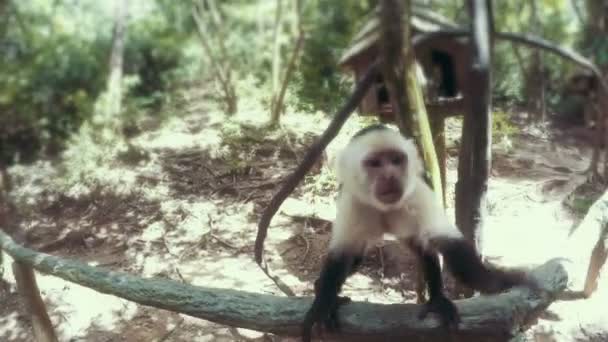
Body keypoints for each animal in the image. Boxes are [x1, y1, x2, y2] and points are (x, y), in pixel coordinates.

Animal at [302, 124, 536, 340]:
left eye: (396, 160)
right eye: (375, 163)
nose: (390, 175)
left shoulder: (416, 192)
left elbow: (448, 243)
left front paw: (500, 281)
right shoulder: (353, 201)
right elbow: (342, 254)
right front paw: (323, 304)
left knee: (424, 248)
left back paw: (437, 299)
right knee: (357, 257)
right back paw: (323, 289)